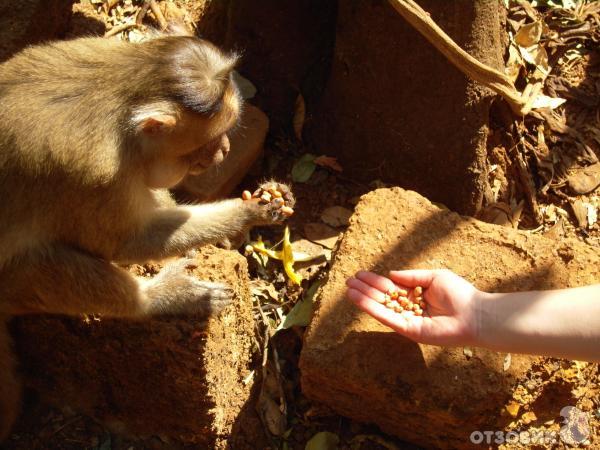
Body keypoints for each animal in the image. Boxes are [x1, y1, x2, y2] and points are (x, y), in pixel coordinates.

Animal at [0, 33, 292, 442]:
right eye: (206, 144)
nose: (224, 152)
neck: (113, 102)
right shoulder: (94, 178)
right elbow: (123, 244)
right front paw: (249, 213)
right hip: (9, 289)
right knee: (38, 263)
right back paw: (156, 298)